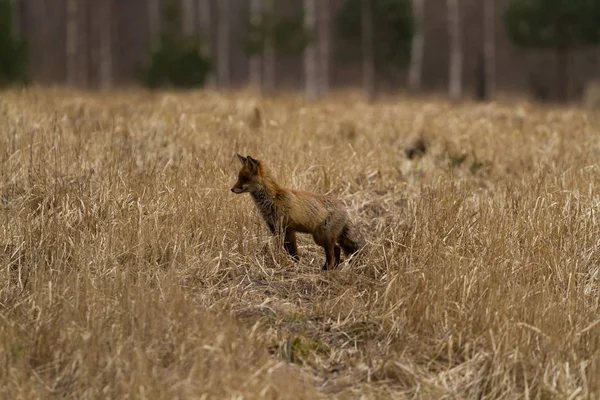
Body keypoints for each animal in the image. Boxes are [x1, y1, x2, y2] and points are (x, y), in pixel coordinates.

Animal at [231, 155, 364, 270]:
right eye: (239, 177)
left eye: (244, 178)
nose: (232, 189)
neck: (273, 199)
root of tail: (345, 209)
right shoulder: (275, 228)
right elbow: (283, 248)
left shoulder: (288, 229)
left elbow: (292, 251)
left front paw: (296, 264)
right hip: (320, 237)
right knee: (337, 250)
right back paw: (329, 269)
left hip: (323, 237)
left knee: (333, 252)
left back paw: (328, 270)